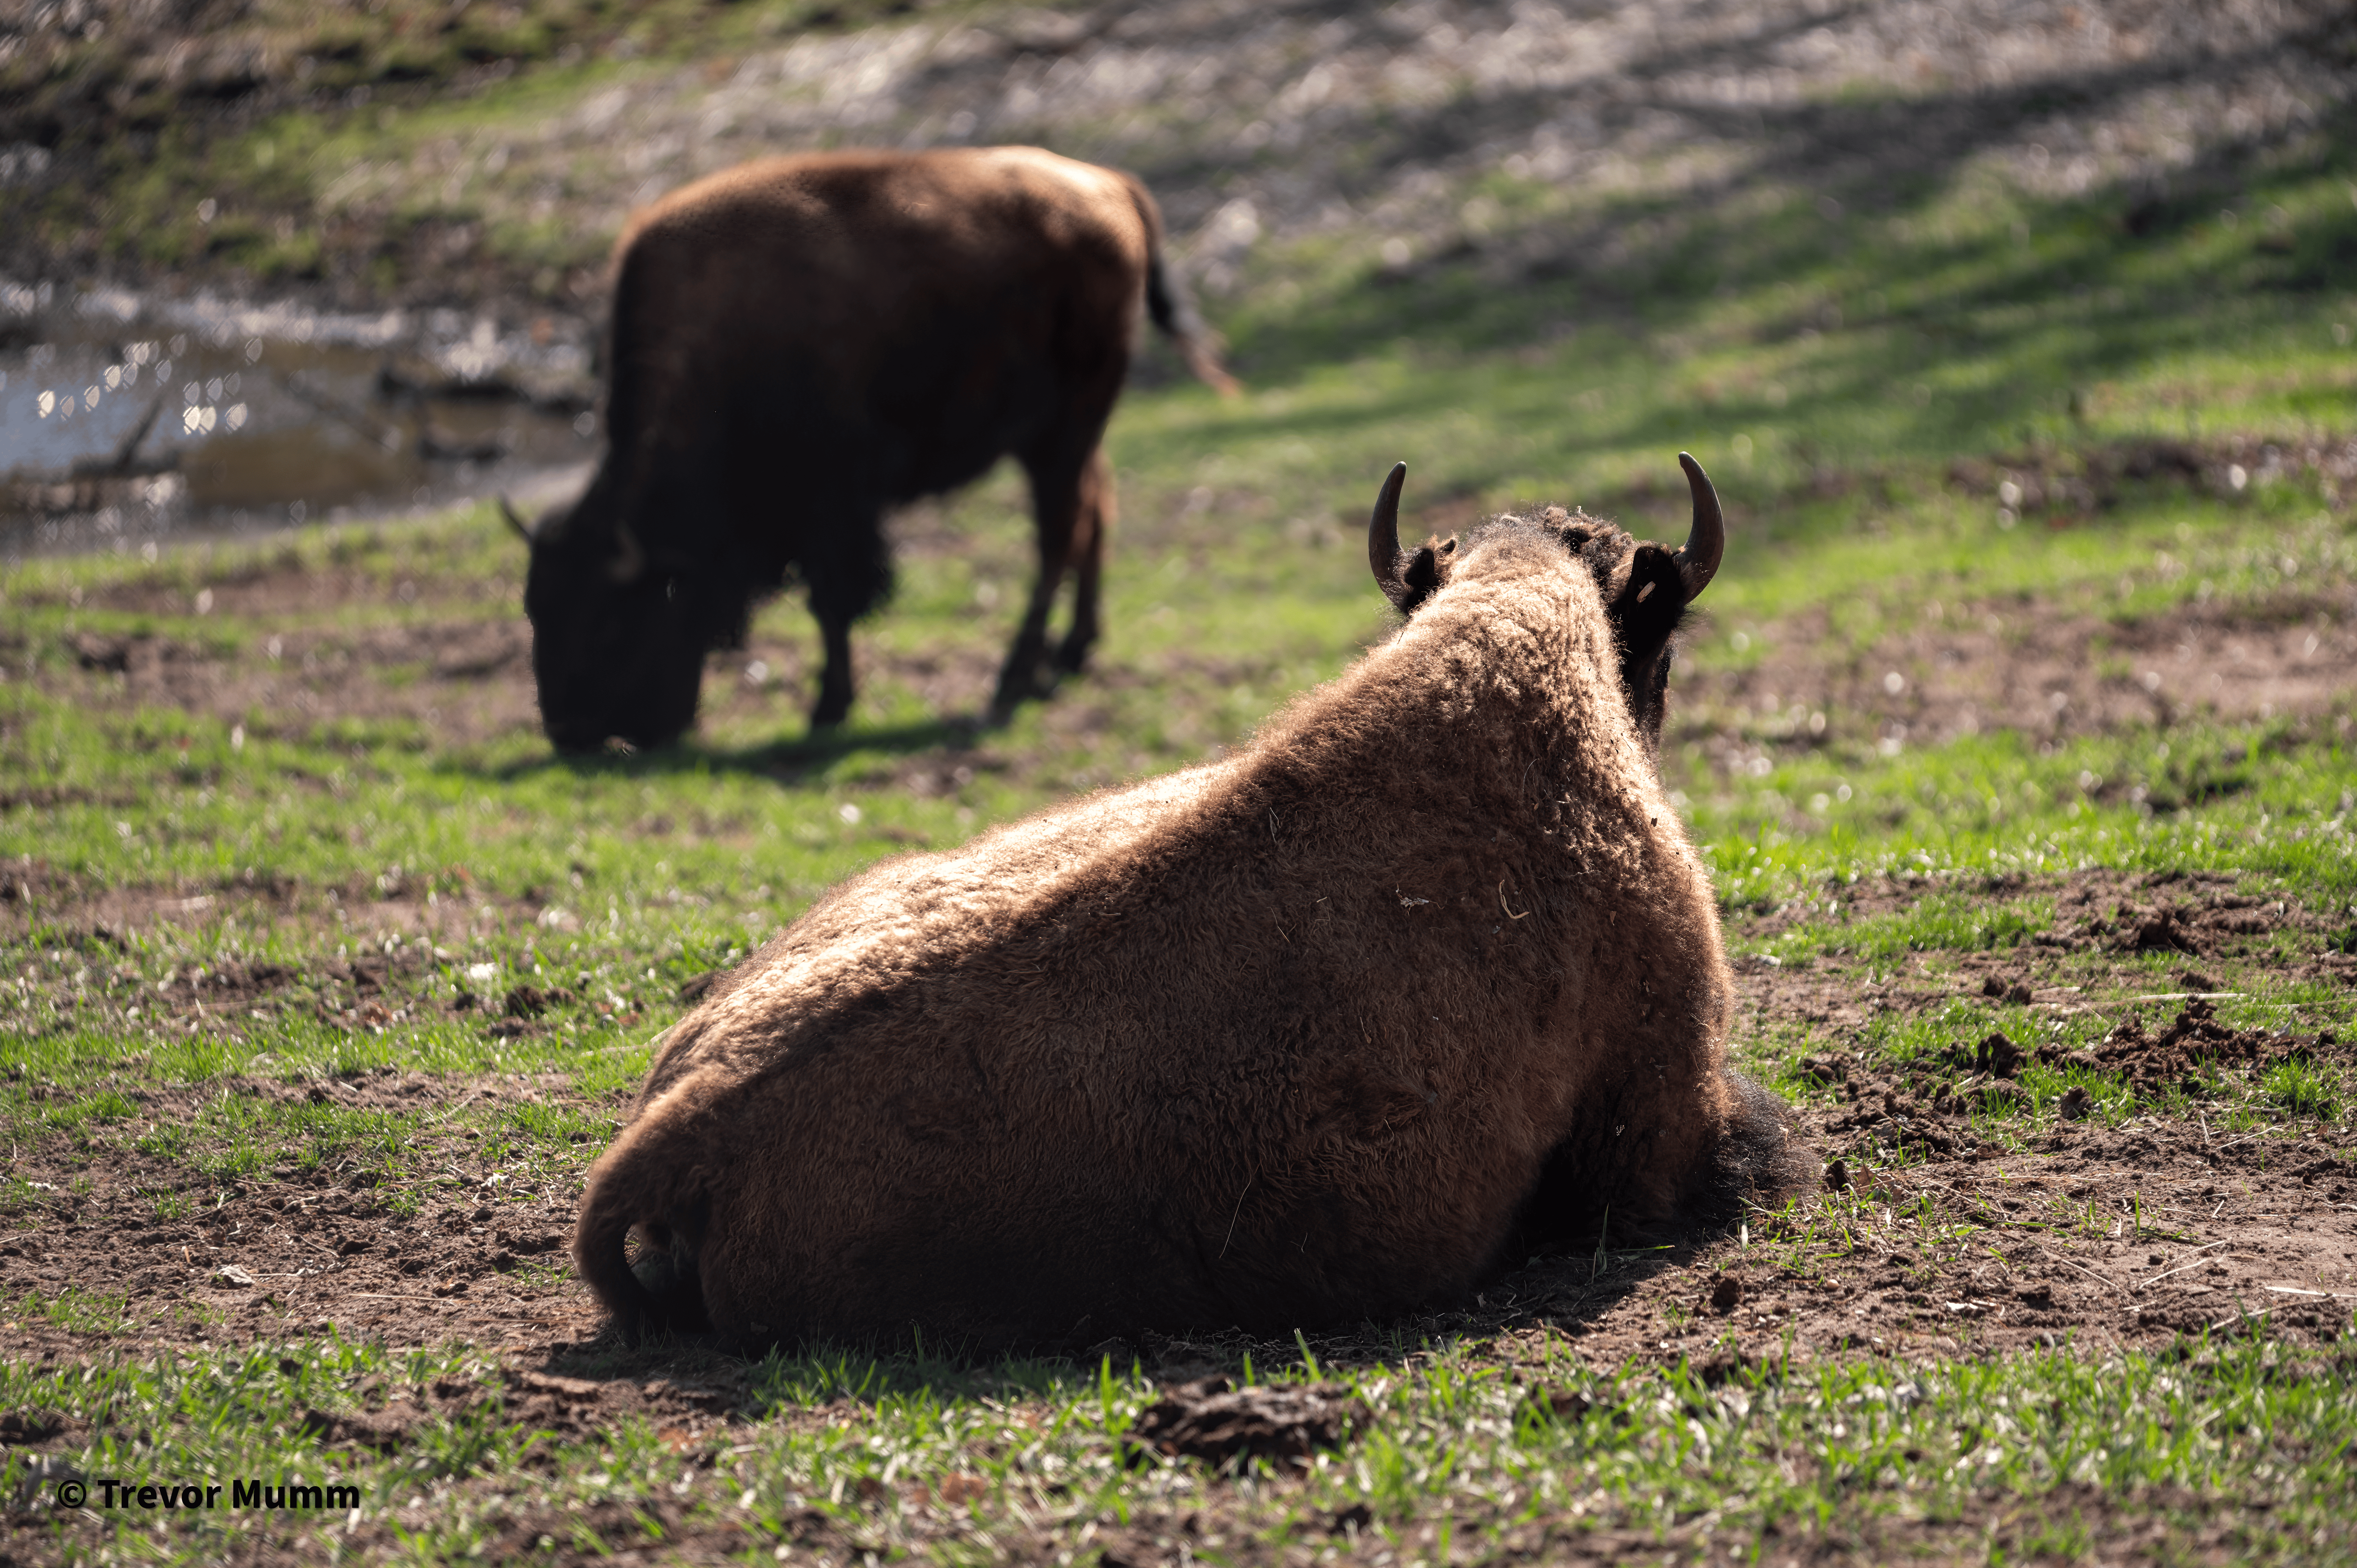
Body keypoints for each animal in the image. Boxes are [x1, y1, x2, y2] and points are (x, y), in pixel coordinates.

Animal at [510, 146, 1236, 751]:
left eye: (609, 621)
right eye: (534, 608)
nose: (570, 734)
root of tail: (1110, 185)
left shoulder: (833, 506)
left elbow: (833, 603)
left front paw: (827, 709)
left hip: (1065, 428)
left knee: (1059, 536)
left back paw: (1013, 677)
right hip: (1064, 437)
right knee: (1094, 514)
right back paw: (1070, 655)